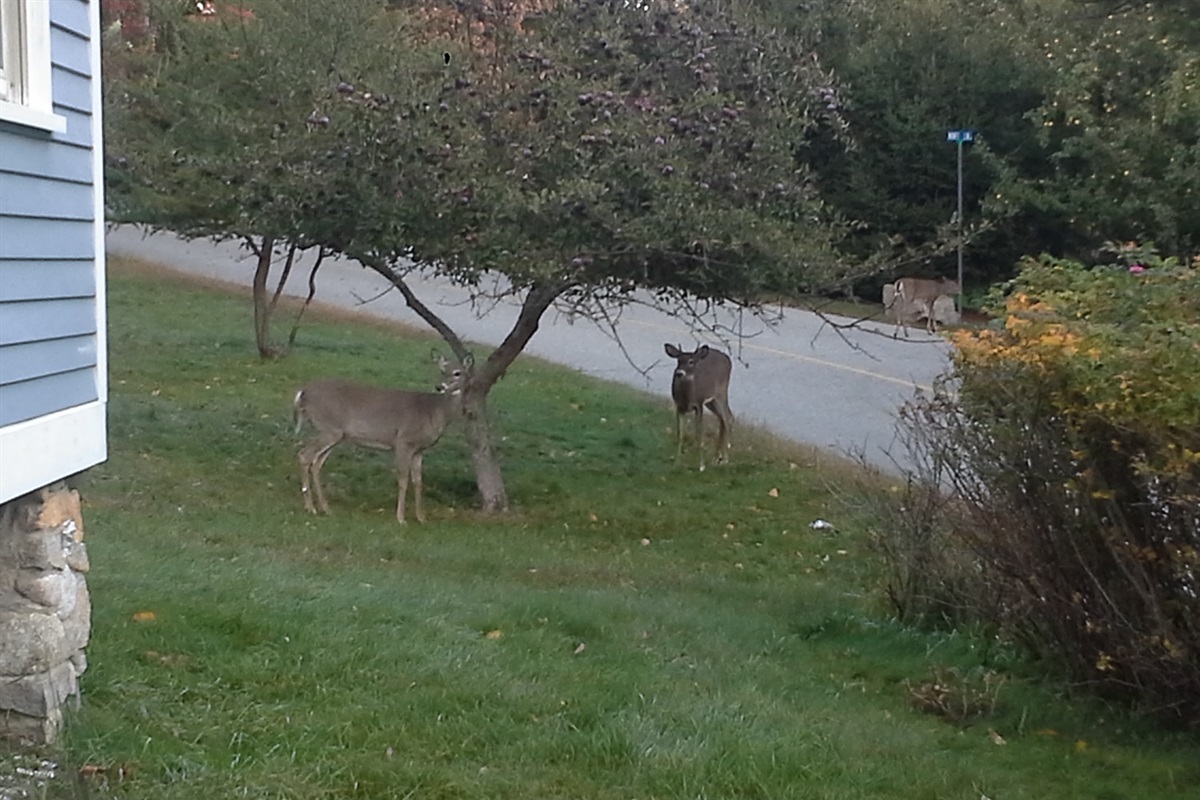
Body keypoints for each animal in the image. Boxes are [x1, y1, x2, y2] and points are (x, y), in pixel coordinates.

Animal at [292, 353, 472, 524]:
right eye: (442, 371)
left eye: (457, 373)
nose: (440, 386)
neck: (433, 412)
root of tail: (303, 391)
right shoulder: (403, 441)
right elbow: (403, 479)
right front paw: (401, 518)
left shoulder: (419, 450)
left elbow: (418, 482)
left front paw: (421, 518)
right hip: (329, 429)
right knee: (304, 455)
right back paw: (310, 508)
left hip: (336, 434)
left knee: (316, 463)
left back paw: (325, 509)